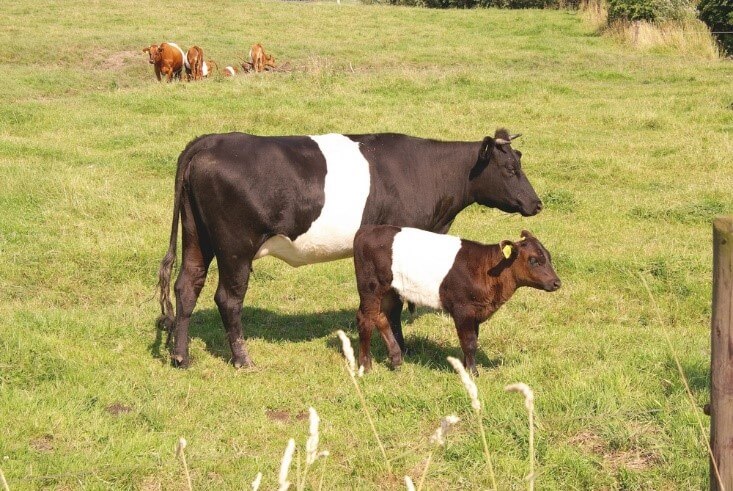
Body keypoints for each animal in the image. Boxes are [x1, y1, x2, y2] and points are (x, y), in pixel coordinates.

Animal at [157, 129, 543, 368]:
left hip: (197, 237)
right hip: (235, 247)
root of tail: (210, 141)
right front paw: (400, 350)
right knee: (227, 299)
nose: (537, 203)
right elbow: (393, 302)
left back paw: (181, 356)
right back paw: (242, 359)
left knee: (187, 286)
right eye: (510, 169)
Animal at [353, 227, 560, 375]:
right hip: (370, 287)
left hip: (390, 290)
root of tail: (366, 231)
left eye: (549, 257)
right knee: (365, 319)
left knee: (381, 317)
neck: (487, 269)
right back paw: (365, 366)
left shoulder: (476, 311)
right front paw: (473, 373)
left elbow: (472, 340)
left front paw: (466, 367)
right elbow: (469, 342)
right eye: (533, 260)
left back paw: (396, 360)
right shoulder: (463, 308)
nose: (556, 282)